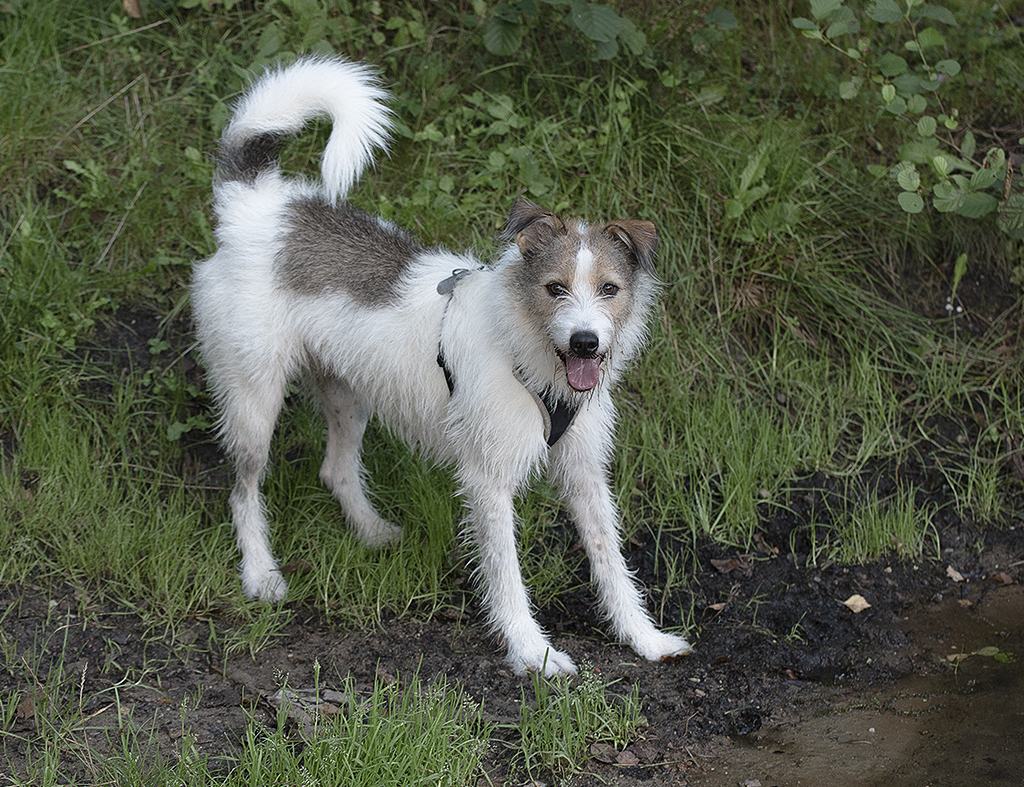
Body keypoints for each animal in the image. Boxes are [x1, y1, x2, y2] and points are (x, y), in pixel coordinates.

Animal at [192, 55, 692, 671]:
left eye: (609, 289)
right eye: (554, 288)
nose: (585, 343)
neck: (528, 353)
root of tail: (259, 207)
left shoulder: (584, 475)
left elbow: (612, 563)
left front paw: (644, 638)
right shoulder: (488, 482)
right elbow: (506, 574)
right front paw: (533, 654)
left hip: (348, 391)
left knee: (335, 468)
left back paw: (372, 531)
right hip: (253, 400)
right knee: (243, 490)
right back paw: (261, 574)